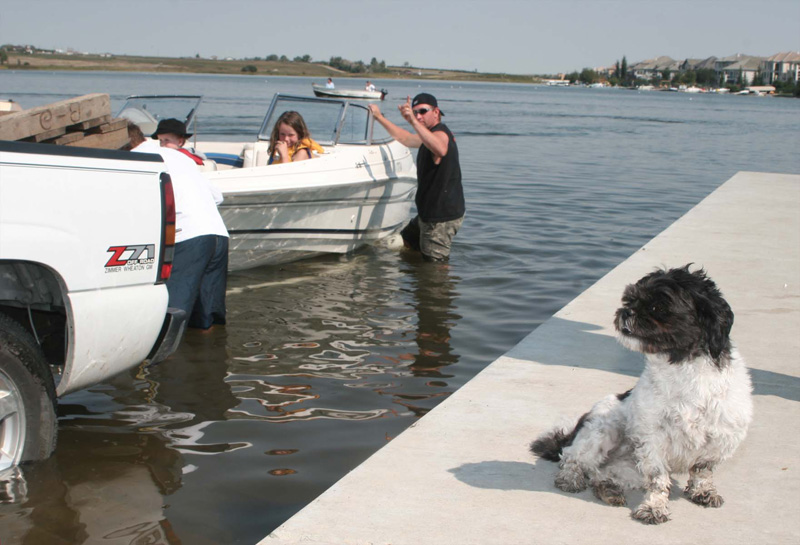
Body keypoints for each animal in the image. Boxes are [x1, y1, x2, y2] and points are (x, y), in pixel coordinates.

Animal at [532, 266, 752, 524]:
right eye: (630, 299)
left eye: (657, 307)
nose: (627, 311)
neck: (683, 368)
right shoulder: (653, 440)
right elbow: (657, 479)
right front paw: (653, 507)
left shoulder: (722, 438)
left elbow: (702, 471)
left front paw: (703, 491)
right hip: (603, 428)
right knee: (572, 457)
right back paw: (571, 477)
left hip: (628, 467)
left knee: (600, 475)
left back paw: (609, 489)